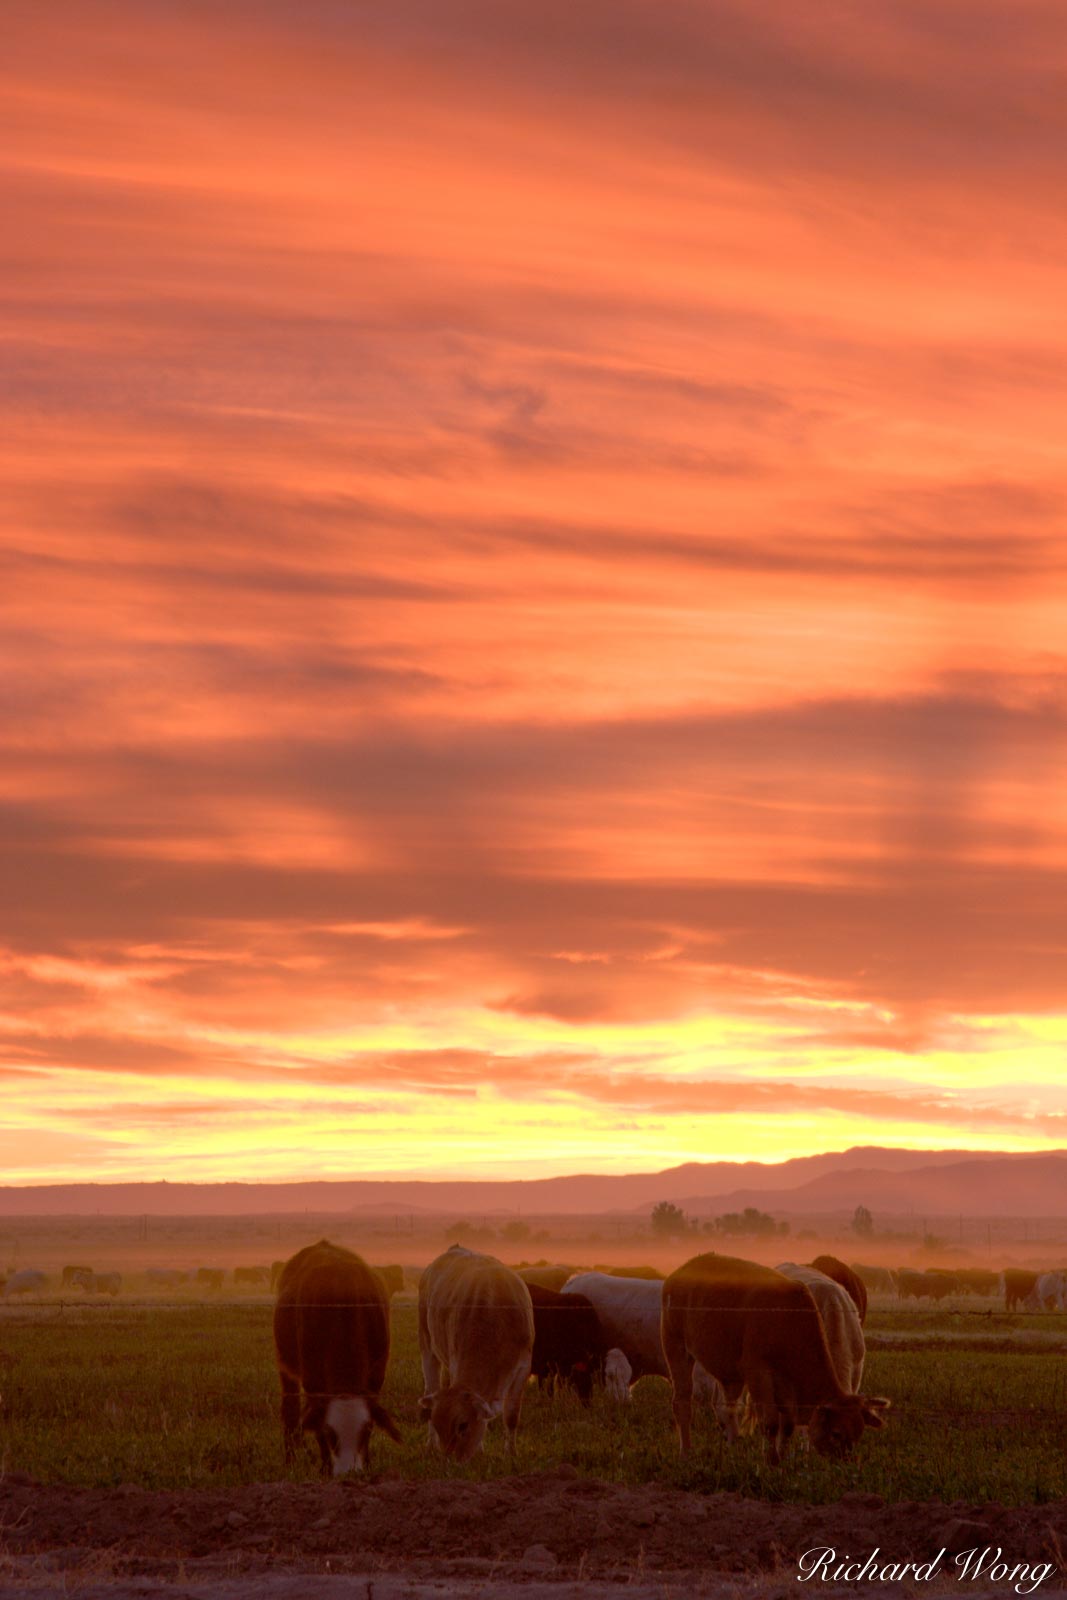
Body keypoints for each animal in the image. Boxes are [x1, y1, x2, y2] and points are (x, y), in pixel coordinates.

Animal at [273, 1235, 403, 1472]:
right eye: (330, 1432)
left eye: (365, 1430)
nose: (348, 1471)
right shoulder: (313, 1378)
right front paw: (325, 1465)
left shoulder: (376, 1375)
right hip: (285, 1366)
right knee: (289, 1410)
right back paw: (290, 1459)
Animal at [415, 1235, 534, 1465]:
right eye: (439, 1425)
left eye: (463, 1425)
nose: (451, 1459)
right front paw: (480, 1450)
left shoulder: (523, 1367)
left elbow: (512, 1416)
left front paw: (511, 1453)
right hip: (427, 1344)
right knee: (431, 1385)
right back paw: (429, 1446)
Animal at [662, 1254, 889, 1465]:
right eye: (836, 1433)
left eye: (858, 1434)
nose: (845, 1461)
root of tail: (684, 1268)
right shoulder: (758, 1375)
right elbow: (771, 1423)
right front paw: (771, 1461)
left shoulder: (786, 1383)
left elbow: (786, 1425)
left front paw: (781, 1460)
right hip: (676, 1348)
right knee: (682, 1402)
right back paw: (686, 1453)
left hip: (728, 1373)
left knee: (726, 1408)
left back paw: (733, 1447)